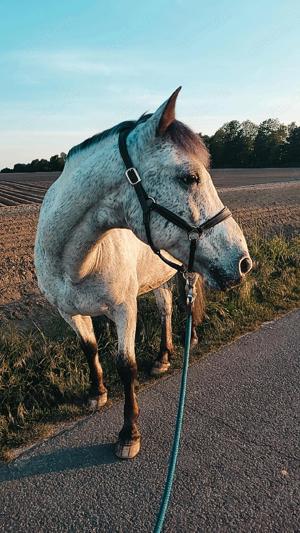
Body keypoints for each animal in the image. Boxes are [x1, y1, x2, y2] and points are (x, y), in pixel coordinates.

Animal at [34, 87, 252, 458]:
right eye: (189, 177)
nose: (243, 262)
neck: (74, 263)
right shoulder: (68, 312)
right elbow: (89, 348)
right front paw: (96, 393)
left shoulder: (124, 308)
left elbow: (126, 366)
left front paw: (128, 433)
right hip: (158, 277)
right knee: (165, 309)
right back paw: (163, 358)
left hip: (188, 271)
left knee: (186, 305)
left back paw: (190, 339)